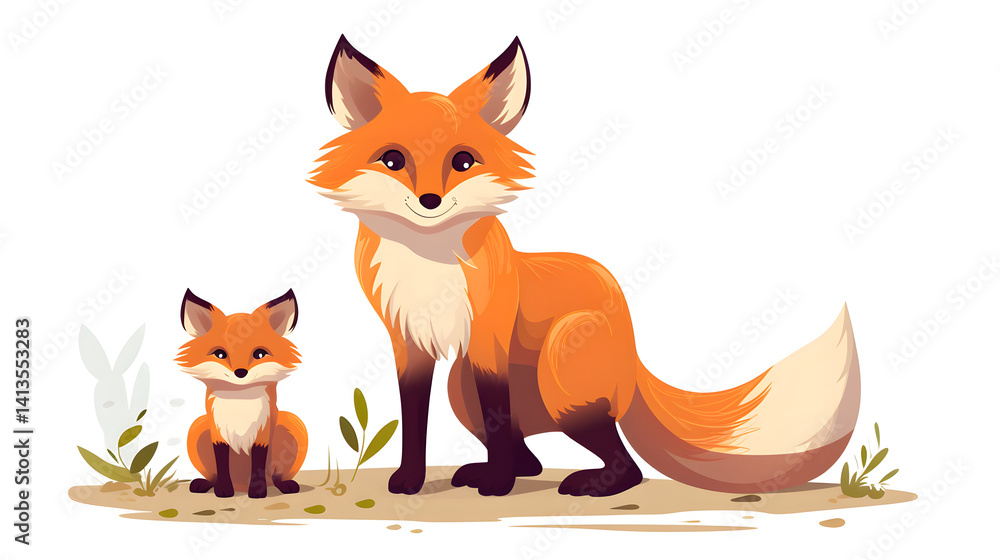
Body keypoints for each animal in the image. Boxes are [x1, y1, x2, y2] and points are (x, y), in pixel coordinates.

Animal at [176, 289, 308, 499]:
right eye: (220, 354)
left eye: (260, 354)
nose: (240, 373)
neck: (239, 402)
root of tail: (240, 485)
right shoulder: (217, 431)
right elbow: (222, 463)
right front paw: (223, 490)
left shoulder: (262, 432)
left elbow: (258, 462)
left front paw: (257, 492)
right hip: (198, 427)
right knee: (212, 475)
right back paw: (205, 484)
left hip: (290, 425)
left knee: (275, 478)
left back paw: (283, 485)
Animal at [309, 36, 861, 497]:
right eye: (393, 160)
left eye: (463, 162)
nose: (429, 201)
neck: (428, 265)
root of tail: (632, 348)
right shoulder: (408, 343)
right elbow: (414, 418)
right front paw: (412, 480)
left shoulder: (488, 339)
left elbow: (494, 413)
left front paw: (499, 487)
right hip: (460, 384)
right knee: (526, 451)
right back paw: (496, 470)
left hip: (559, 373)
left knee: (624, 464)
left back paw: (587, 483)